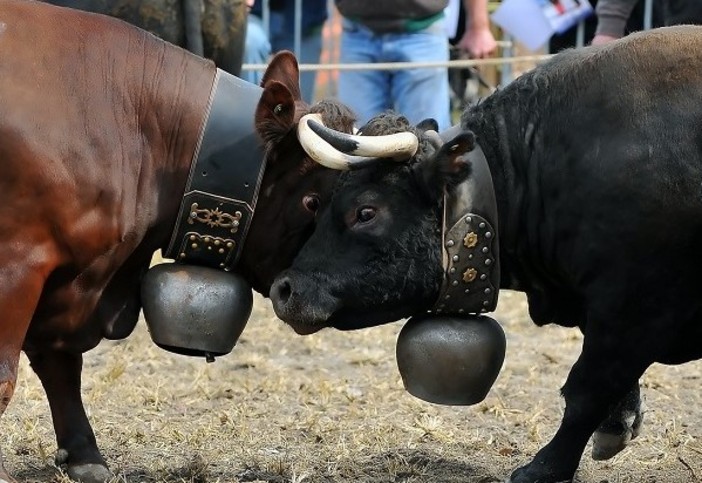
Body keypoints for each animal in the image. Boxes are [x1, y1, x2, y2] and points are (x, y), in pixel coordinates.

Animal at [0, 1, 358, 482]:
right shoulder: (18, 265)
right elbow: (5, 379)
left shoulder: (72, 273)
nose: (311, 295)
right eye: (312, 200)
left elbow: (60, 361)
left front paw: (84, 455)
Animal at [272, 26, 702, 483]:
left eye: (366, 211)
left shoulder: (634, 303)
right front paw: (616, 425)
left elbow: (588, 386)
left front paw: (545, 466)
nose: (285, 289)